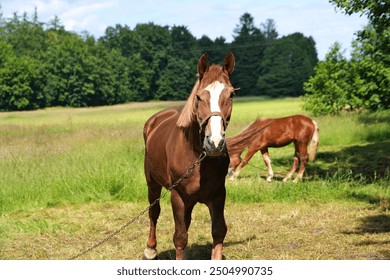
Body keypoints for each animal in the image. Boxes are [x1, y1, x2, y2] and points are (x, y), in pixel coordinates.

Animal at [142, 51, 236, 260]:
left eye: (232, 94)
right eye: (199, 97)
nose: (214, 143)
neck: (197, 158)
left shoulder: (218, 195)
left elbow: (218, 231)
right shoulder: (177, 196)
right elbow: (180, 237)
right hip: (152, 182)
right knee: (154, 212)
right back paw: (151, 249)